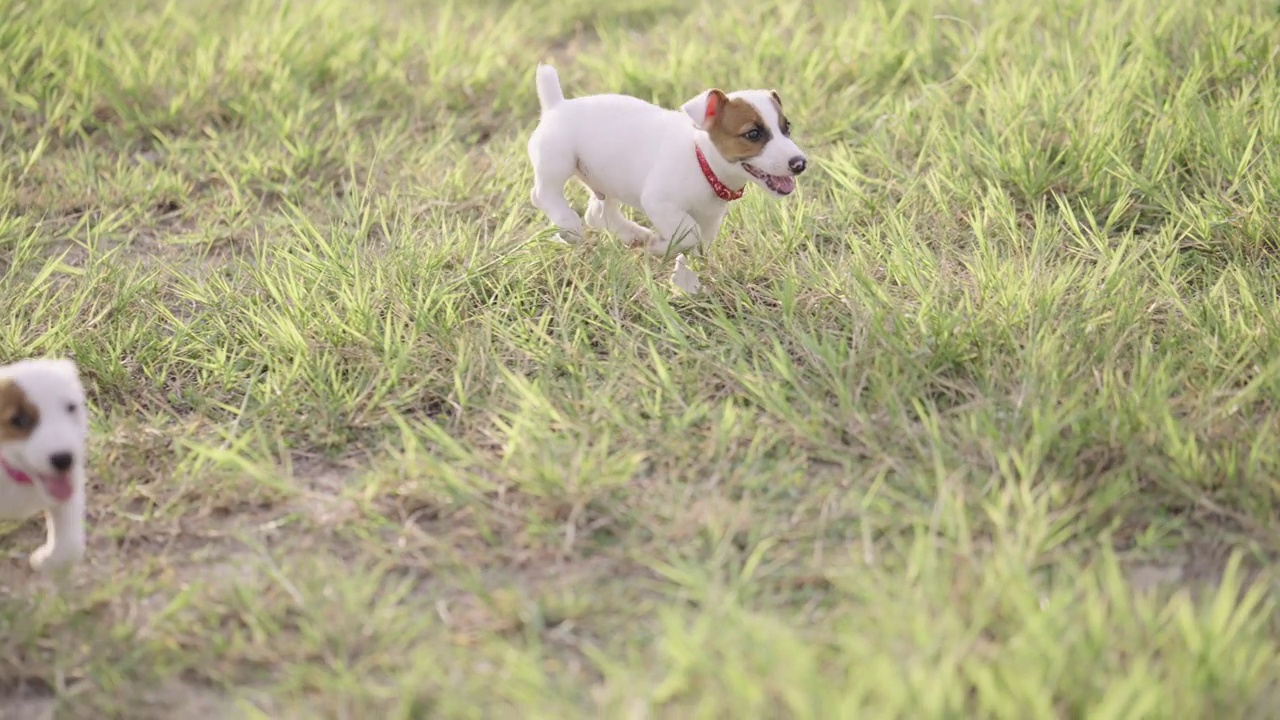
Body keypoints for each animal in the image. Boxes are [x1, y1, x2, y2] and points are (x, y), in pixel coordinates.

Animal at [0, 356, 90, 568]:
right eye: (19, 420)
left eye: (71, 407)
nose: (64, 459)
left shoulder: (70, 489)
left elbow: (70, 546)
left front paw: (48, 561)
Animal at [524, 63, 803, 254]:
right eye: (753, 134)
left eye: (787, 127)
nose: (800, 163)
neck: (702, 162)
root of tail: (557, 104)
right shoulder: (660, 203)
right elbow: (689, 233)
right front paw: (660, 245)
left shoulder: (710, 218)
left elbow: (700, 238)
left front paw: (660, 246)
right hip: (557, 161)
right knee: (543, 194)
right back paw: (568, 224)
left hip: (605, 179)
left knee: (598, 212)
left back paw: (633, 234)